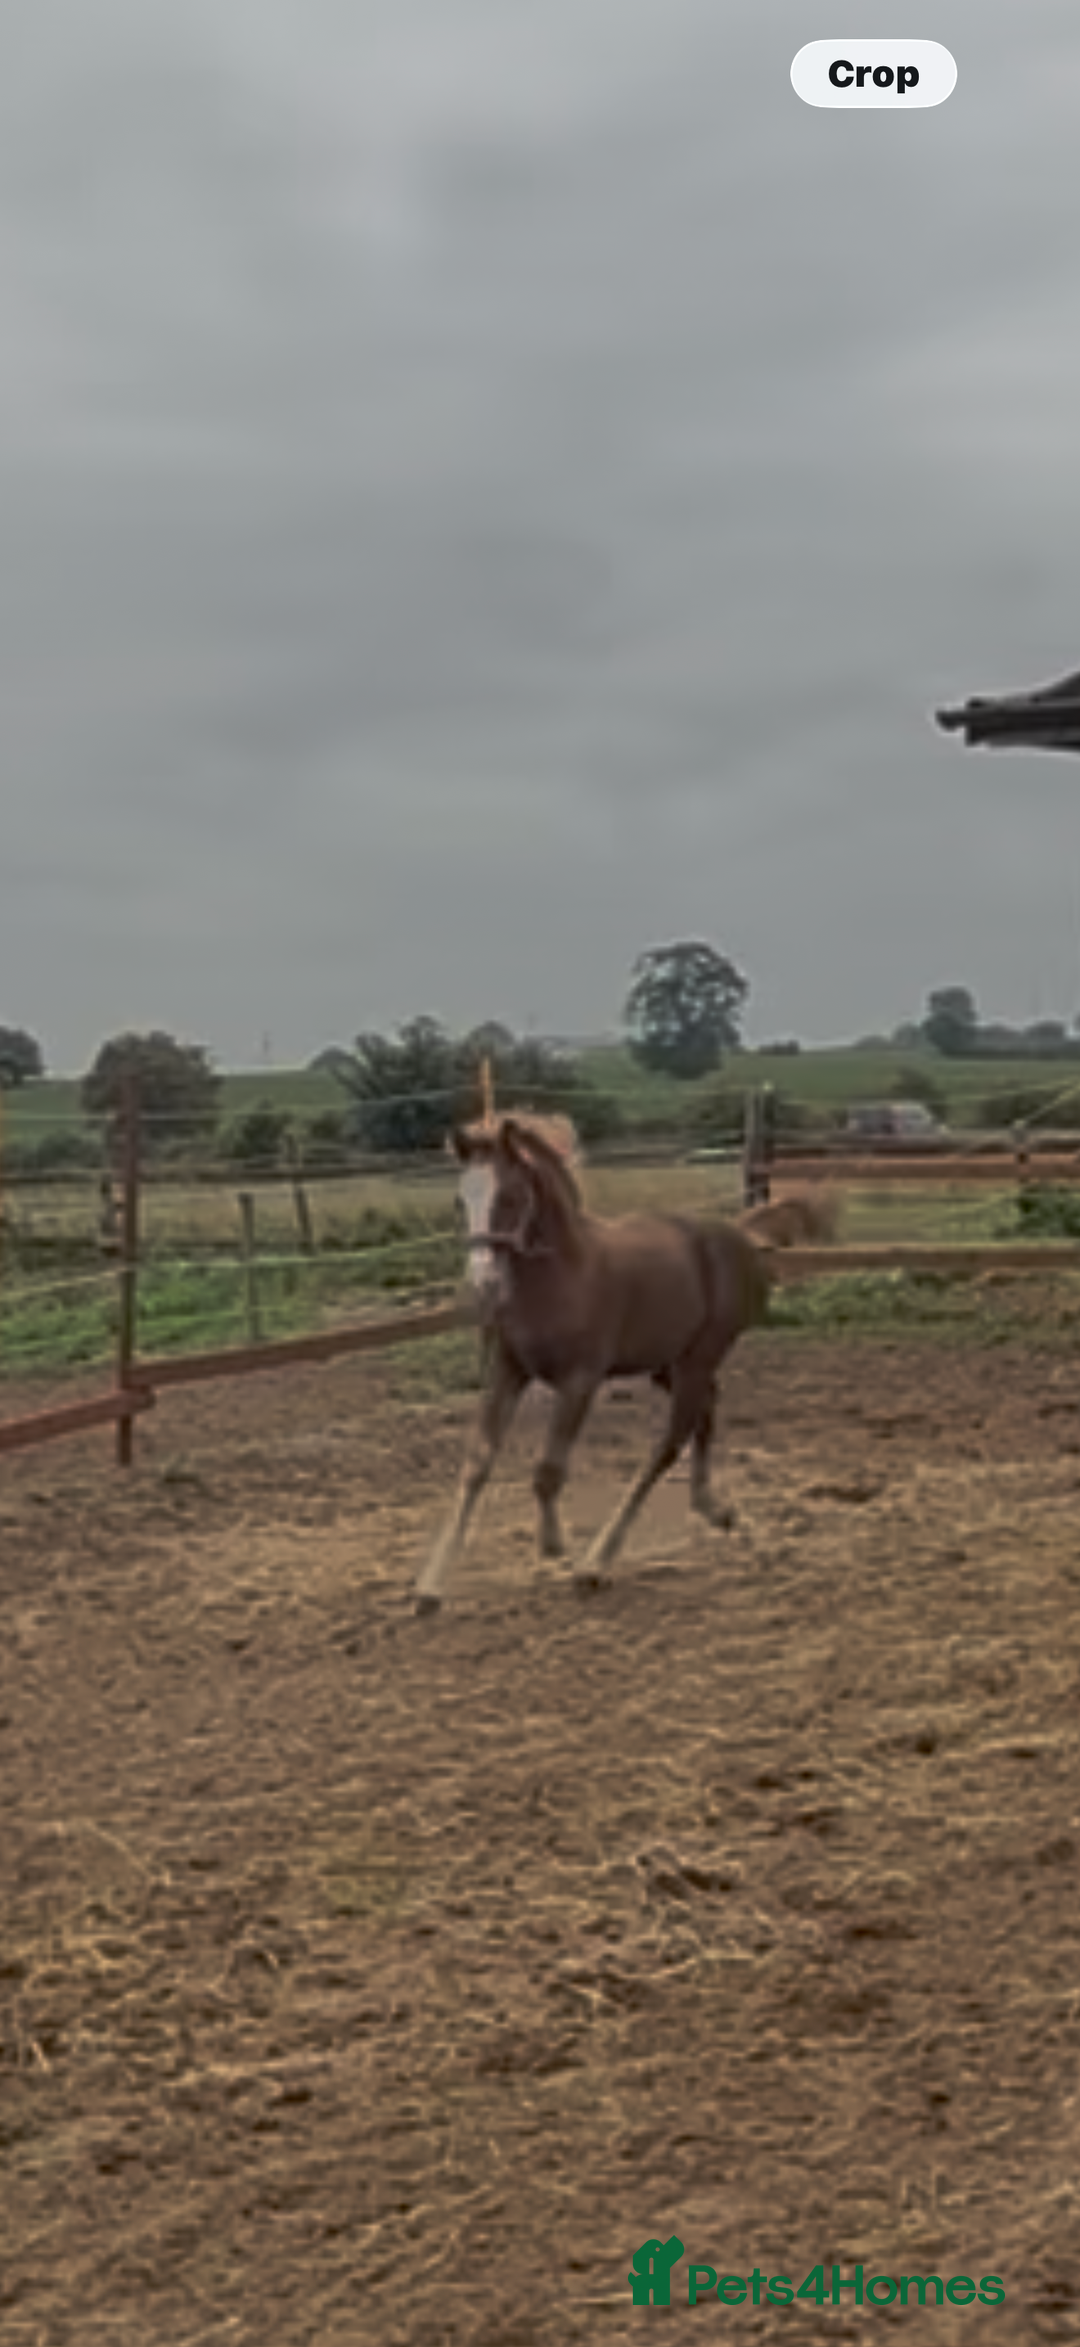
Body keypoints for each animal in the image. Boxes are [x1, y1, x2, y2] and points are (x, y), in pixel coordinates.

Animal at [414, 1112, 781, 1616]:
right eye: (459, 1199)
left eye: (509, 1197)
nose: (483, 1284)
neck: (561, 1278)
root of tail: (742, 1240)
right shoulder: (509, 1371)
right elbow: (478, 1464)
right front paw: (430, 1585)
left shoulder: (579, 1381)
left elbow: (548, 1471)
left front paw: (555, 1549)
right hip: (669, 1365)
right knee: (706, 1410)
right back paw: (715, 1509)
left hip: (699, 1358)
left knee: (669, 1443)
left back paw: (597, 1563)